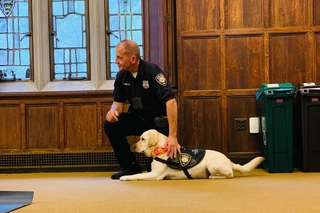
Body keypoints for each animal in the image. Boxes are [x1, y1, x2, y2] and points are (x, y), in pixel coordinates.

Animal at [119, 129, 264, 181]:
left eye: (142, 139)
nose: (132, 146)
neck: (161, 149)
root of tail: (228, 159)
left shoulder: (155, 175)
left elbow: (137, 175)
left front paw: (126, 177)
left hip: (211, 165)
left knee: (230, 174)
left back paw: (213, 176)